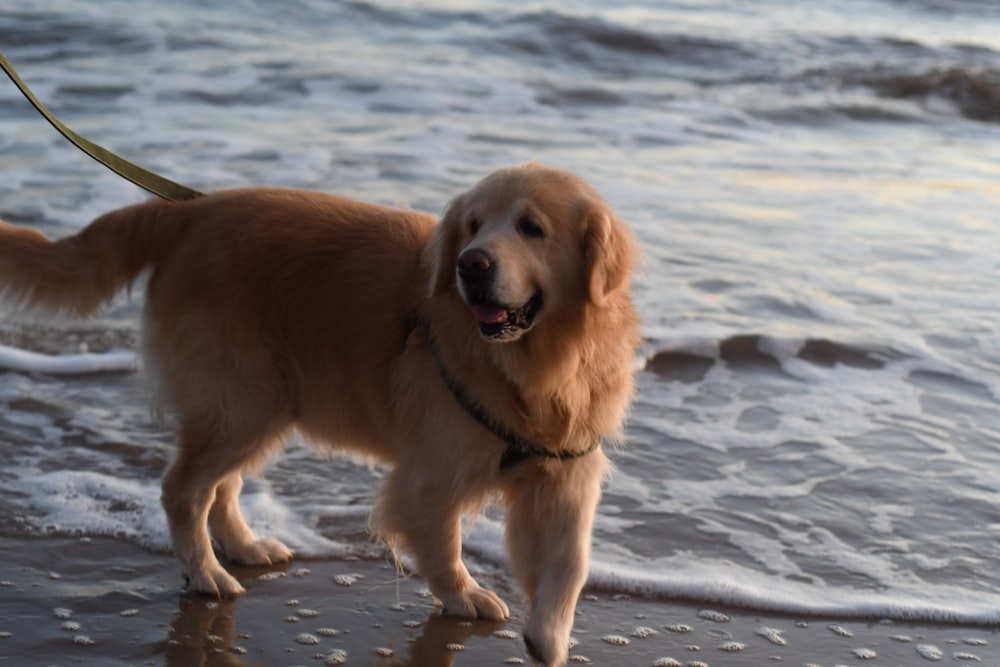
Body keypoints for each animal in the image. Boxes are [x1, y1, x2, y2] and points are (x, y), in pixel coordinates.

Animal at [0, 163, 640, 667]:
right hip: (244, 401)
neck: (537, 365)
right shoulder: (431, 471)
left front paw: (549, 639)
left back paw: (243, 546)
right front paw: (464, 596)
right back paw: (205, 574)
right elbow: (443, 544)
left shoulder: (565, 471)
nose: (469, 264)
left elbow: (571, 561)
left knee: (220, 487)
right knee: (184, 489)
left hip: (261, 403)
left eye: (532, 228)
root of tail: (188, 213)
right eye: (474, 225)